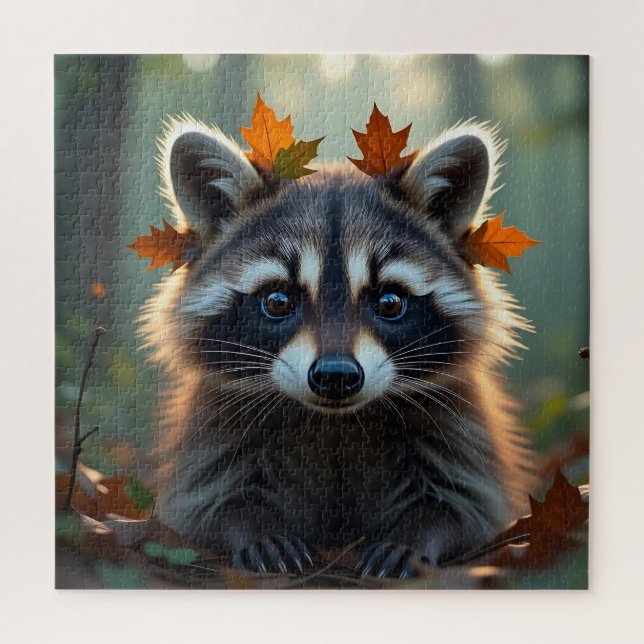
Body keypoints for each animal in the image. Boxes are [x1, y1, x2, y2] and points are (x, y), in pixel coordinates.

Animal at [140, 113, 534, 579]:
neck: (335, 423)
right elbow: (202, 505)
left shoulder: (460, 425)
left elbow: (468, 507)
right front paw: (253, 526)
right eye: (278, 301)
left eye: (389, 301)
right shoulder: (215, 427)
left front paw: (415, 534)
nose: (335, 376)